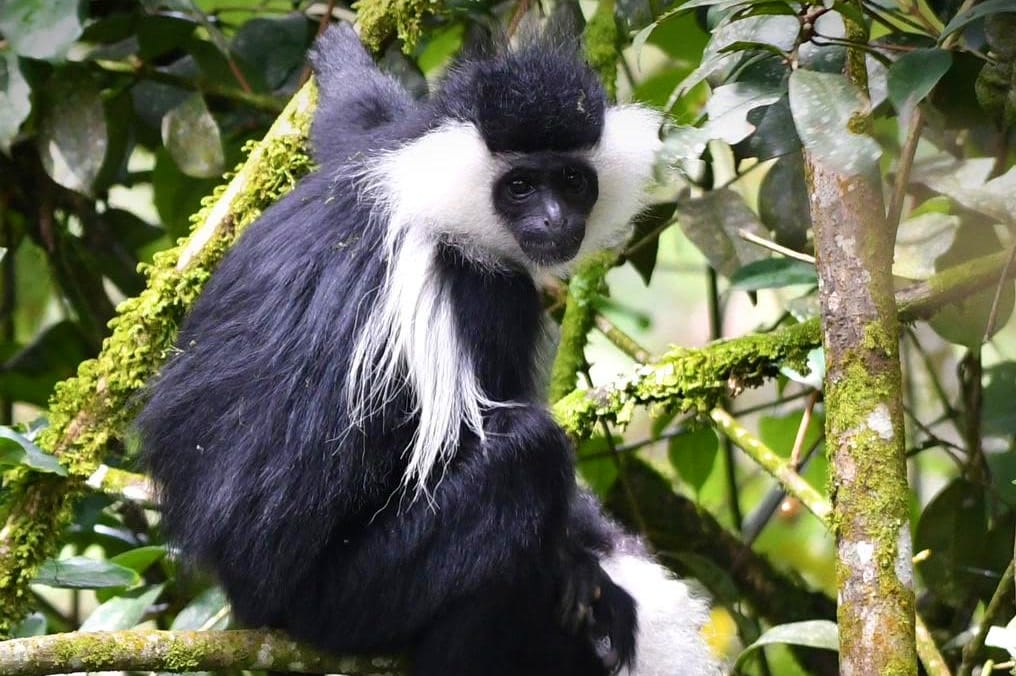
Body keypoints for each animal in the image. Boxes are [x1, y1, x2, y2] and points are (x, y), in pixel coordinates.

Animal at [137, 23, 718, 676]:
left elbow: (355, 122)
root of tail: (248, 594)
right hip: (349, 596)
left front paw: (343, 61)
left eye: (572, 182)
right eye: (520, 187)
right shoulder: (486, 292)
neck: (431, 200)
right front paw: (583, 574)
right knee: (528, 458)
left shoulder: (379, 152)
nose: (554, 220)